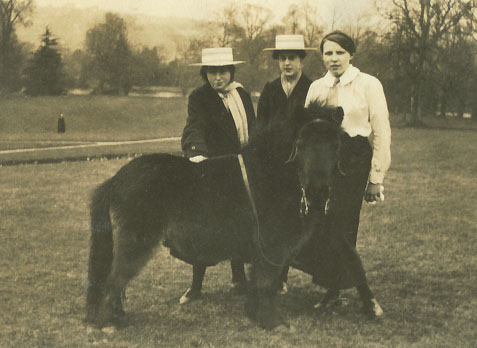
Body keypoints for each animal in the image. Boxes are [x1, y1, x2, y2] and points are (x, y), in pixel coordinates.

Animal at [84, 102, 342, 328]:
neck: (267, 176)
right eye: (300, 144)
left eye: (335, 145)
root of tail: (115, 180)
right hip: (135, 243)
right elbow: (266, 284)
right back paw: (106, 324)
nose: (318, 192)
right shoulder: (271, 249)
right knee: (114, 281)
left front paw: (255, 315)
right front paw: (271, 323)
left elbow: (257, 283)